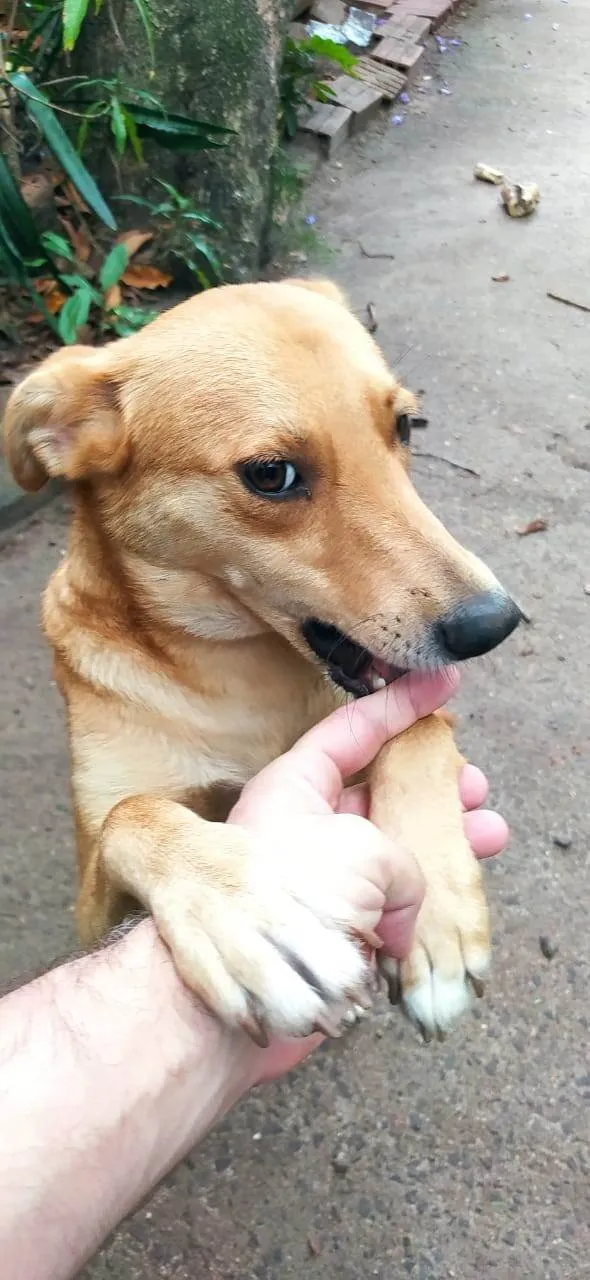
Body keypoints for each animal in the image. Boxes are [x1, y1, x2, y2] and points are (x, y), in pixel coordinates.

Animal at [3, 280, 519, 1039]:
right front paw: (247, 913)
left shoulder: (399, 707)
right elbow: (135, 812)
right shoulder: (91, 896)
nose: (494, 624)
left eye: (405, 427)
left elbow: (417, 727)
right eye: (272, 475)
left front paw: (434, 920)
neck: (245, 682)